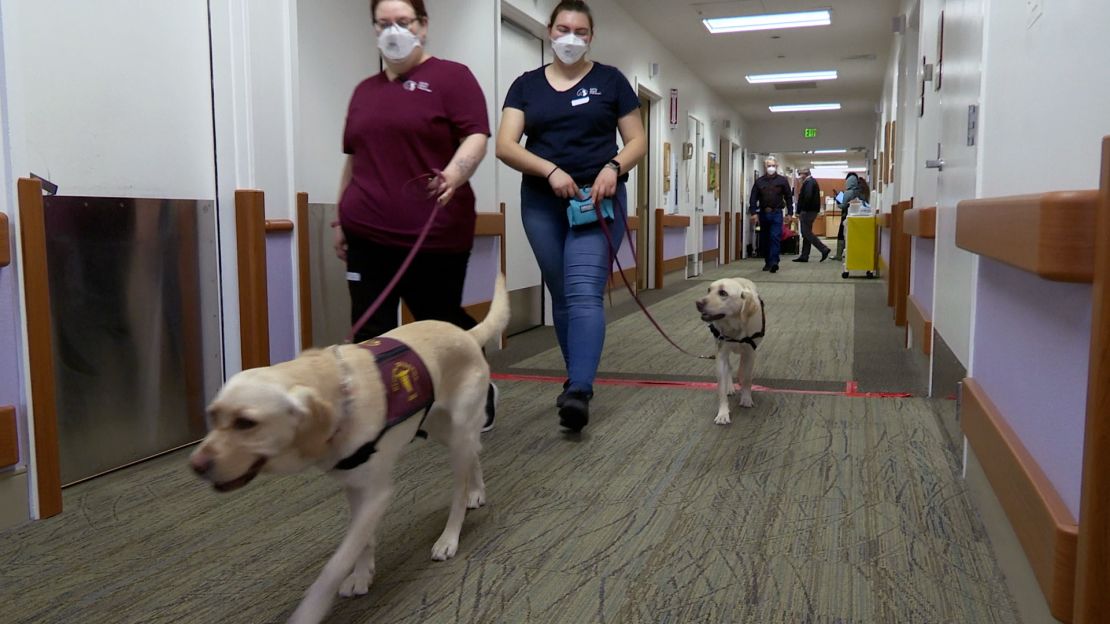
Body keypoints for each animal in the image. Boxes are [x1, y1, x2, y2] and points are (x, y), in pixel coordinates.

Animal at [192, 274, 510, 617]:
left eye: (246, 423)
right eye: (212, 415)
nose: (195, 465)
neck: (338, 395)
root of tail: (465, 334)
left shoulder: (377, 493)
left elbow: (337, 563)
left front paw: (312, 609)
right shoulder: (354, 486)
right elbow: (363, 541)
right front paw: (361, 575)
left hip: (457, 430)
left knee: (459, 486)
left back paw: (449, 537)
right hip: (440, 429)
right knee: (473, 455)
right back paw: (476, 491)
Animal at [697, 276, 768, 421]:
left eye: (723, 293)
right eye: (708, 290)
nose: (698, 303)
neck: (735, 326)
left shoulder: (750, 353)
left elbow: (746, 377)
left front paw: (746, 398)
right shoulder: (721, 354)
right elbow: (721, 387)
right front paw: (723, 413)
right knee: (729, 368)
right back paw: (730, 387)